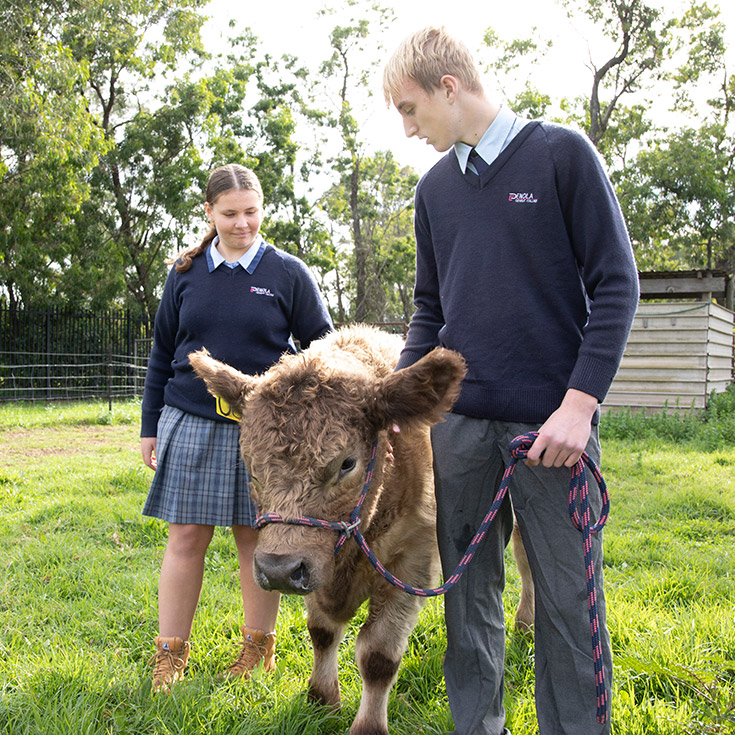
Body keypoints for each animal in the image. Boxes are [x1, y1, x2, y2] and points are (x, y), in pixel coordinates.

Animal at [189, 325, 533, 735]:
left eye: (347, 463)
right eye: (250, 465)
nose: (278, 570)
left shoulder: (412, 563)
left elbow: (378, 655)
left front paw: (368, 725)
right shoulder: (319, 565)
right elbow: (322, 633)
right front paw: (322, 700)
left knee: (527, 564)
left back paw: (526, 626)